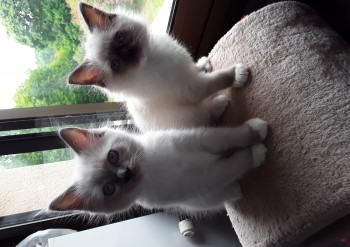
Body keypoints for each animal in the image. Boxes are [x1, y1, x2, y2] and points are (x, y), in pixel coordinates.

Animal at [50, 117, 268, 214]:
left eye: (113, 156)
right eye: (109, 189)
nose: (125, 172)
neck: (153, 168)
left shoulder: (194, 140)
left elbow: (228, 137)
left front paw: (257, 130)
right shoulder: (196, 183)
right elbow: (230, 166)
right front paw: (256, 153)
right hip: (204, 198)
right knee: (225, 188)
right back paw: (235, 191)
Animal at [68, 2, 249, 132]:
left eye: (119, 37)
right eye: (115, 64)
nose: (129, 52)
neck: (152, 59)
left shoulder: (185, 67)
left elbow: (194, 67)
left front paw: (203, 64)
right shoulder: (191, 88)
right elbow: (218, 79)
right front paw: (238, 74)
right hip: (190, 117)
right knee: (207, 115)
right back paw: (220, 103)